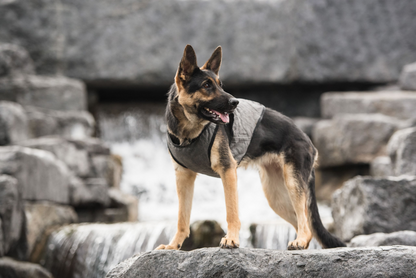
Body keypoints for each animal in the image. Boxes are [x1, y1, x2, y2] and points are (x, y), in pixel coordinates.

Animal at [156, 45, 344, 250]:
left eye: (220, 85)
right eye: (206, 85)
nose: (235, 103)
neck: (190, 133)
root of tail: (307, 139)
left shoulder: (228, 172)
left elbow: (231, 212)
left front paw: (231, 239)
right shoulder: (184, 177)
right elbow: (182, 218)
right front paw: (173, 246)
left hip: (293, 185)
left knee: (306, 223)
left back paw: (300, 241)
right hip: (276, 196)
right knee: (303, 224)